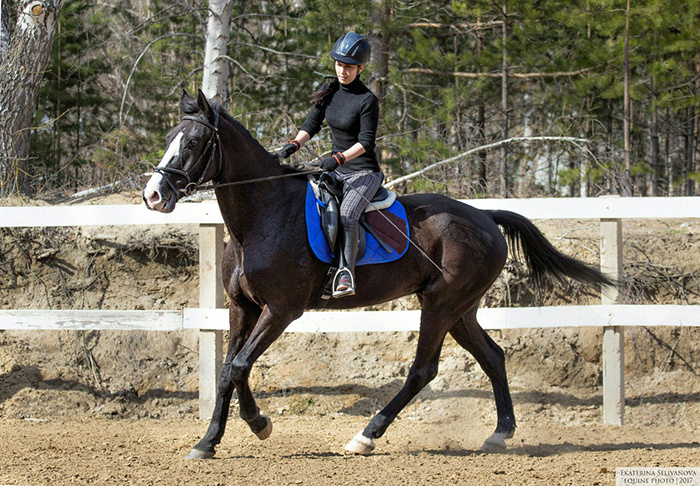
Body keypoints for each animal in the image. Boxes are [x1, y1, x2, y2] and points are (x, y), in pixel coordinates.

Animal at [144, 91, 612, 460]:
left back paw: (366, 436)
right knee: (493, 356)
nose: (153, 195)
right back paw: (499, 434)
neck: (263, 215)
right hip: (460, 309)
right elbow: (229, 370)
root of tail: (484, 216)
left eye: (195, 142)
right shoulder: (242, 307)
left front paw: (248, 427)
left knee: (423, 370)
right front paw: (218, 438)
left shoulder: (281, 310)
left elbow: (239, 365)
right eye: (169, 139)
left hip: (440, 305)